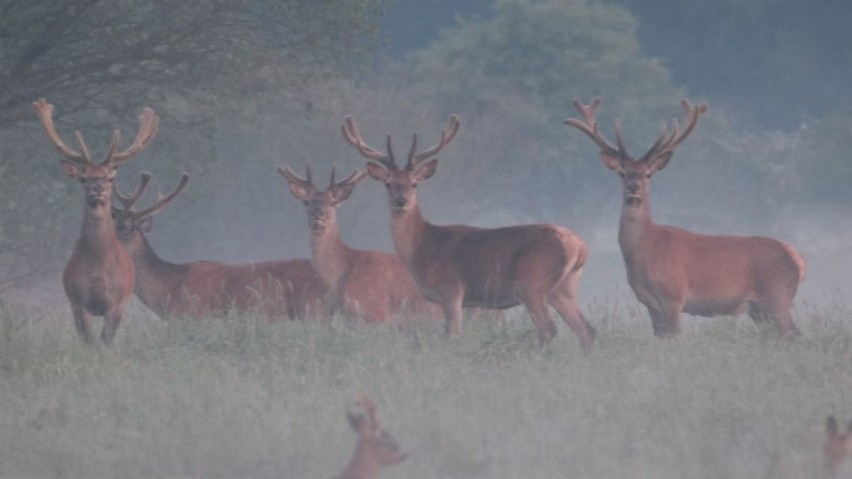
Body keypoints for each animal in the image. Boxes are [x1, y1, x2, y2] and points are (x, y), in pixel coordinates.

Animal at [33, 98, 158, 344]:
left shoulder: (117, 303)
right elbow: (89, 341)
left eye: (109, 178)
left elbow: (106, 341)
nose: (97, 189)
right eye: (83, 178)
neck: (99, 270)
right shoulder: (78, 301)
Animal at [342, 114, 596, 350]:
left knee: (548, 328)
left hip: (532, 282)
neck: (422, 248)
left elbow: (453, 335)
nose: (401, 200)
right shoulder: (469, 301)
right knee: (586, 329)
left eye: (414, 183)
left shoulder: (451, 289)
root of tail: (579, 246)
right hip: (565, 287)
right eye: (388, 183)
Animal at [564, 97, 804, 338]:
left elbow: (675, 338)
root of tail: (798, 259)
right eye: (622, 173)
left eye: (648, 173)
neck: (646, 249)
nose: (634, 186)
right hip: (758, 308)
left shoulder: (673, 296)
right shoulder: (650, 304)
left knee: (793, 333)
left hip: (777, 296)